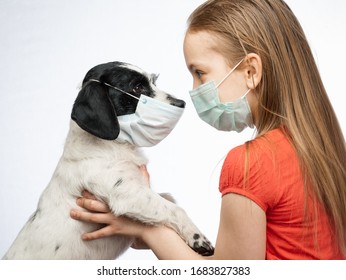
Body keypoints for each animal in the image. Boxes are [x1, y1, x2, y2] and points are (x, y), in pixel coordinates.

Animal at [2, 61, 214, 260]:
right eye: (137, 87)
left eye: (153, 81)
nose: (182, 103)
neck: (111, 146)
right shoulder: (127, 193)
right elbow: (174, 209)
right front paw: (197, 238)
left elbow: (168, 198)